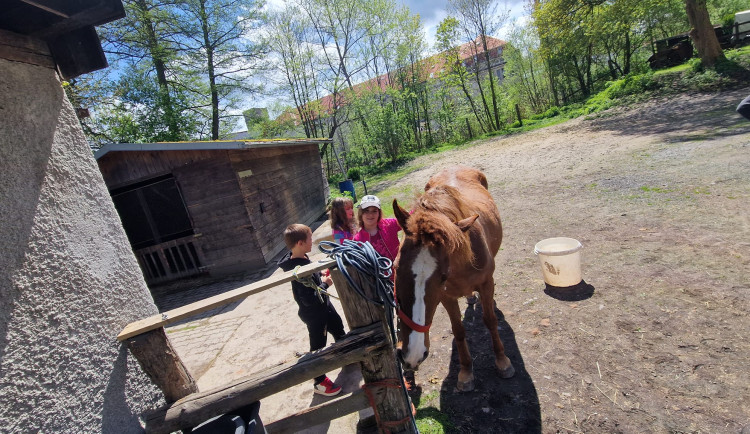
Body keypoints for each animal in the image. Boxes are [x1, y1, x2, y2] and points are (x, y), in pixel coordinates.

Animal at [390, 165, 516, 390]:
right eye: (396, 267)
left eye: (442, 276)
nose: (411, 355)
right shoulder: (446, 297)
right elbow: (458, 331)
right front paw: (466, 372)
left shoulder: (485, 284)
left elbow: (490, 320)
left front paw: (502, 361)